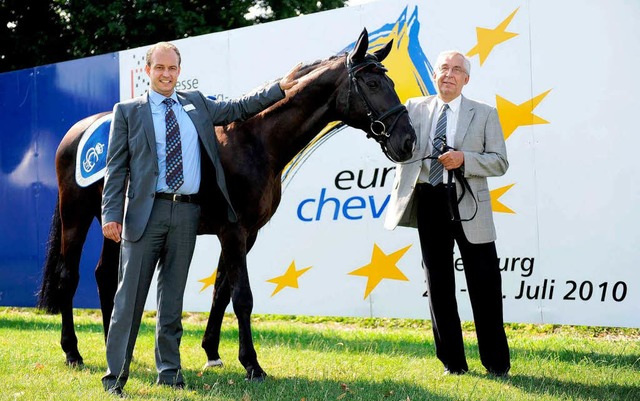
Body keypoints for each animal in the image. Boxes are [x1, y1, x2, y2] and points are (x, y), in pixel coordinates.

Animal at [36, 28, 416, 378]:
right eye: (371, 82)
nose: (408, 140)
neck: (254, 140)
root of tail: (75, 132)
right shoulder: (234, 230)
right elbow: (242, 296)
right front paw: (252, 364)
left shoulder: (245, 233)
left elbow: (221, 290)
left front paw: (212, 353)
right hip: (76, 216)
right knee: (69, 276)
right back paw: (73, 352)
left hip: (117, 224)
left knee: (105, 276)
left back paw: (110, 346)